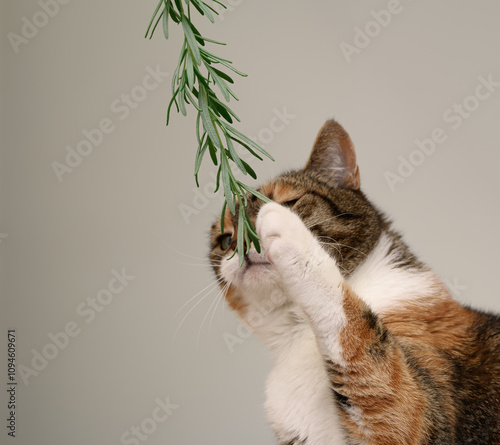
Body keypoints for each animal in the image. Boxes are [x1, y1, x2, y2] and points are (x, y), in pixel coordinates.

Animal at [207, 119, 500, 444]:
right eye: (225, 240)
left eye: (289, 202)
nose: (242, 244)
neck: (296, 332)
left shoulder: (416, 415)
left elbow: (349, 323)